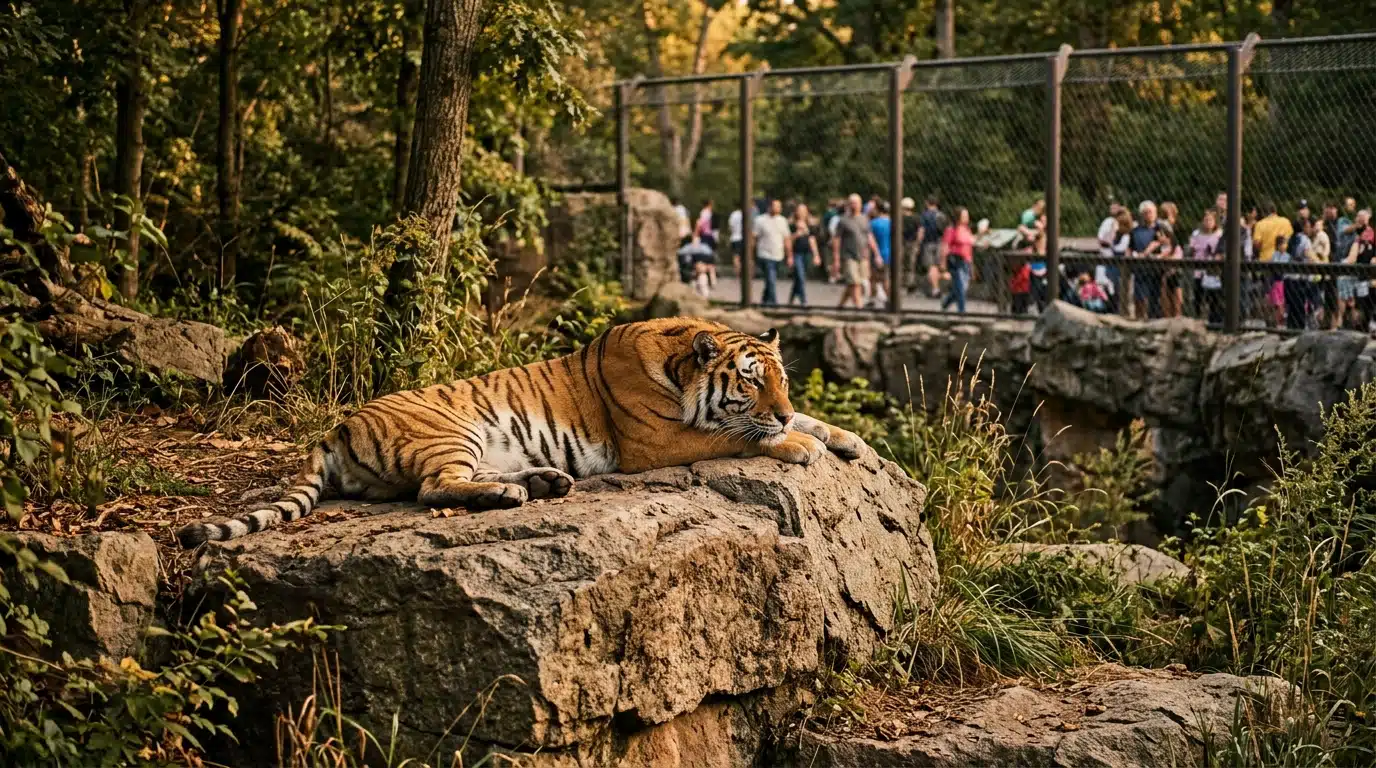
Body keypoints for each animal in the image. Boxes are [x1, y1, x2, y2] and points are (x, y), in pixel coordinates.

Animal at [175, 317, 867, 547]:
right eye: (751, 381)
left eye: (783, 380)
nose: (781, 412)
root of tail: (337, 425)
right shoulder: (658, 441)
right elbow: (739, 433)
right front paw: (799, 444)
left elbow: (814, 419)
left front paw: (847, 439)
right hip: (450, 432)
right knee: (432, 490)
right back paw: (516, 493)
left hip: (476, 444)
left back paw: (543, 483)